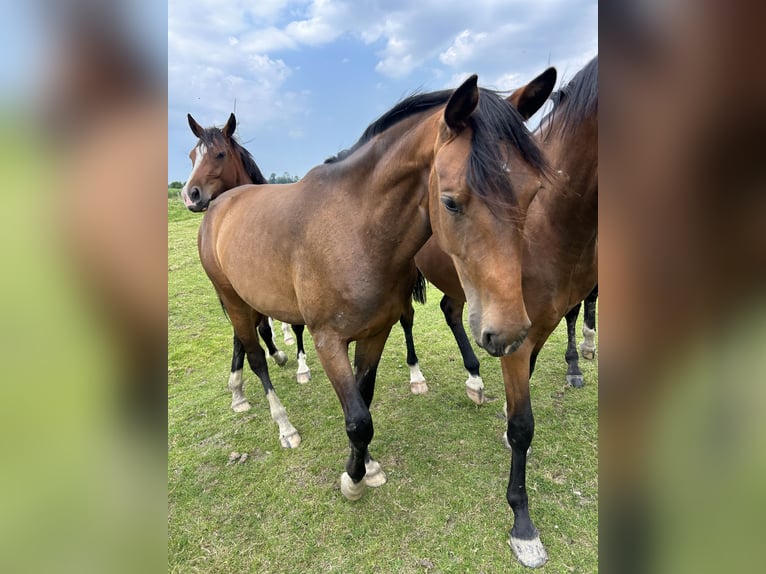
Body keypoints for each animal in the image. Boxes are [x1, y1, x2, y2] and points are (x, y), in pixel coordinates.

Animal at [180, 76, 552, 520]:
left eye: (533, 193)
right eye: (450, 201)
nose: (510, 333)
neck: (356, 230)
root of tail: (219, 205)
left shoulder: (376, 333)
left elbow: (364, 399)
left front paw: (367, 465)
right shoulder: (328, 341)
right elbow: (358, 419)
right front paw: (353, 481)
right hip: (234, 301)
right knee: (254, 357)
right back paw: (283, 424)